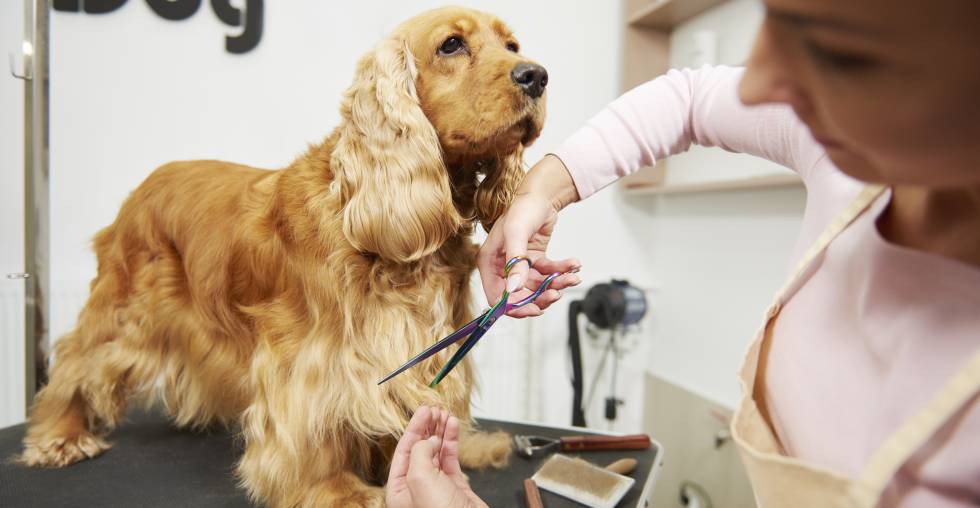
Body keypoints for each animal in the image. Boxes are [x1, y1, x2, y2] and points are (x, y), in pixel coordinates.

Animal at [21, 7, 552, 508]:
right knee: (76, 360)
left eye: (512, 44)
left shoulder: (425, 348)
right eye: (451, 45)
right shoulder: (312, 362)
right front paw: (338, 490)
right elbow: (313, 430)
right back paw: (59, 435)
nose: (537, 75)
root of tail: (143, 186)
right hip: (125, 308)